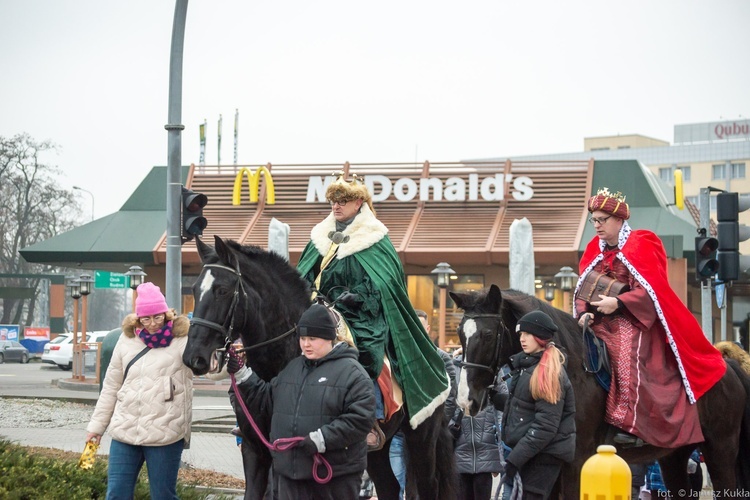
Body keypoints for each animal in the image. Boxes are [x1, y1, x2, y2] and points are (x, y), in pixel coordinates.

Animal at [182, 235, 458, 500]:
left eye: (222, 290)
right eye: (194, 289)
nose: (194, 357)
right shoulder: (255, 449)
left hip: (421, 439)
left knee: (428, 486)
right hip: (378, 450)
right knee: (389, 486)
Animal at [452, 286, 750, 500]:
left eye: (487, 335)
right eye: (460, 333)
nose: (466, 400)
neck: (567, 365)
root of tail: (729, 367)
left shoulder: (576, 461)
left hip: (720, 449)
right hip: (674, 456)